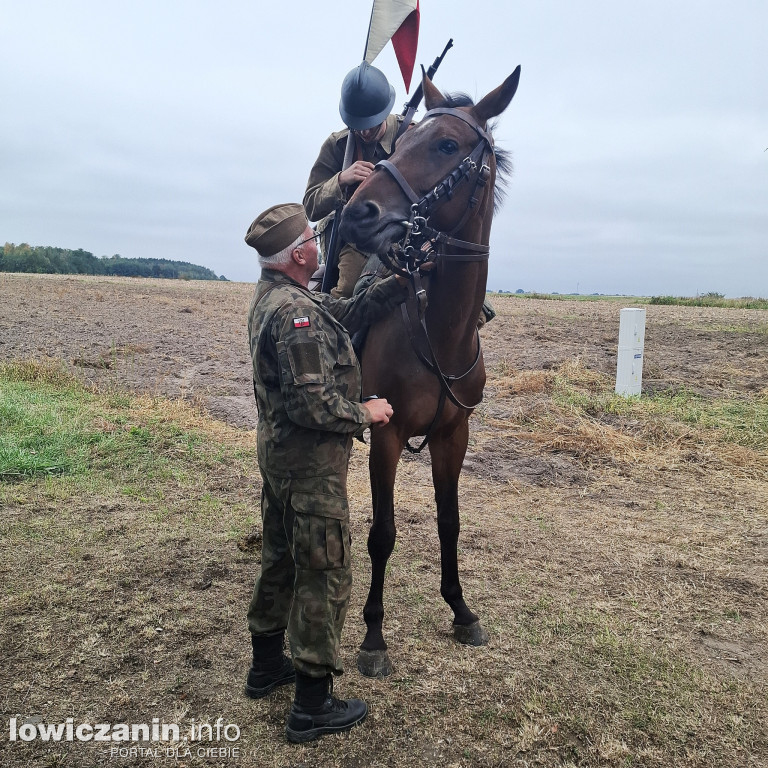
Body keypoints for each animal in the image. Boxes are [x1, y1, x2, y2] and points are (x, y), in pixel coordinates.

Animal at [340, 67, 520, 680]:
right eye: (401, 144)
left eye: (446, 145)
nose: (356, 213)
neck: (440, 333)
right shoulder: (388, 434)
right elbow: (383, 533)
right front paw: (373, 636)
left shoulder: (452, 436)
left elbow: (450, 522)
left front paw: (461, 609)